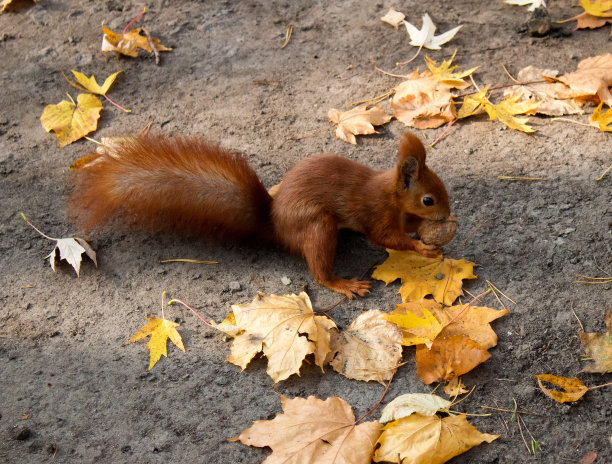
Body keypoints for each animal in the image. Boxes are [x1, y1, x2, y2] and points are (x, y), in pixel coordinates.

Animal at [70, 131, 450, 298]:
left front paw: (424, 231)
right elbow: (387, 238)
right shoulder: (377, 213)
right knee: (318, 271)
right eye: (429, 199)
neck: (390, 192)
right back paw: (343, 283)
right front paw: (424, 247)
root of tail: (276, 224)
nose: (447, 213)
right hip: (318, 225)